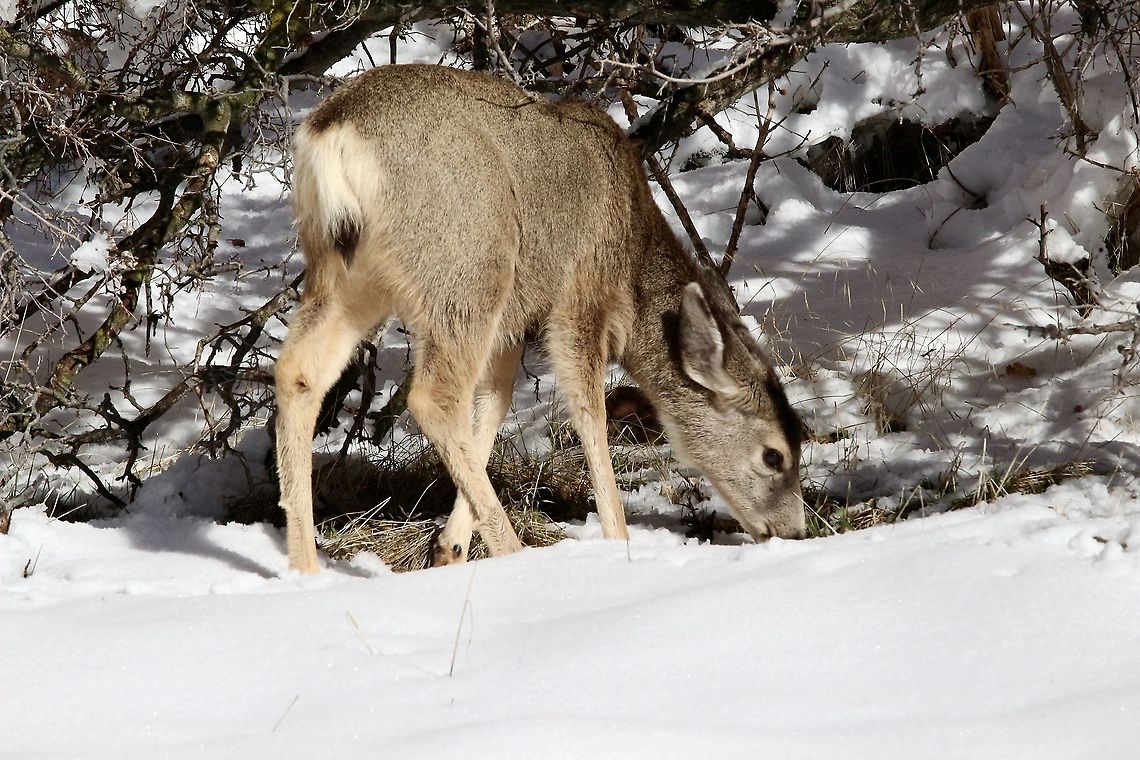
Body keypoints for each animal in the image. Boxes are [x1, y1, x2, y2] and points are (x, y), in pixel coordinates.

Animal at [275, 64, 806, 574]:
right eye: (774, 455)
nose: (796, 533)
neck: (633, 258)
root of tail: (332, 132)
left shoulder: (513, 322)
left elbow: (495, 403)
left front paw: (450, 547)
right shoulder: (579, 298)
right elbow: (589, 413)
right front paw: (619, 541)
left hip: (350, 274)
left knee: (299, 372)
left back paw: (307, 569)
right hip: (470, 264)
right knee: (432, 395)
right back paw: (514, 552)